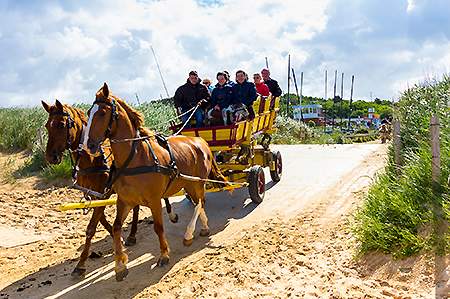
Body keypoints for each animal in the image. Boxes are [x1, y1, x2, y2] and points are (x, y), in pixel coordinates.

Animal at [41, 100, 142, 278]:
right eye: (47, 125)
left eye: (61, 124)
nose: (50, 157)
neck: (91, 158)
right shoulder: (94, 195)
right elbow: (100, 219)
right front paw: (117, 238)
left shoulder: (104, 193)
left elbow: (91, 227)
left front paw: (81, 264)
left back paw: (132, 235)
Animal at [85, 83, 227, 282]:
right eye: (89, 112)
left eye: (102, 113)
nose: (88, 145)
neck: (135, 158)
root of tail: (200, 140)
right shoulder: (125, 201)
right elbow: (116, 227)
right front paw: (120, 265)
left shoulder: (154, 200)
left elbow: (159, 227)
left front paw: (164, 255)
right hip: (188, 183)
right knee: (199, 202)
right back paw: (204, 227)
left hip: (198, 181)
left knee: (200, 202)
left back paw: (188, 233)